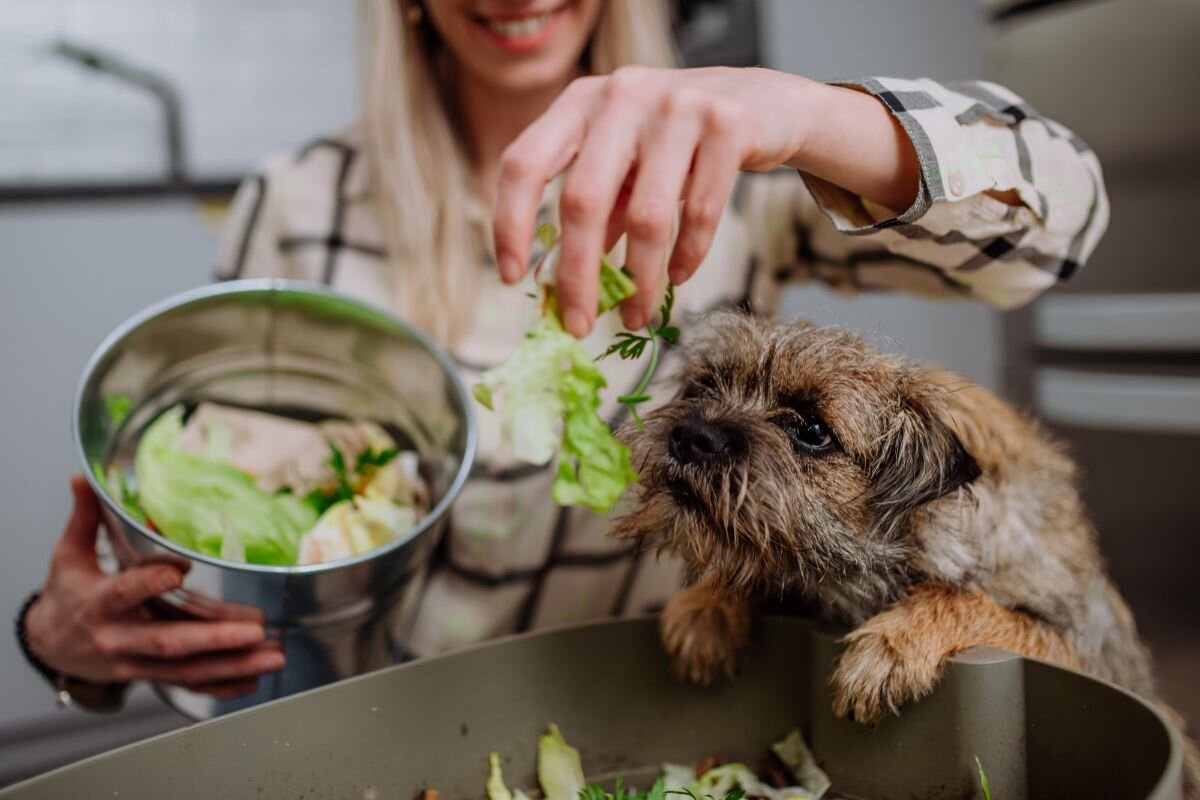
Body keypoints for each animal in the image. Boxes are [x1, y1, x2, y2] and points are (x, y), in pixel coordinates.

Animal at [619, 311, 1200, 796]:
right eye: (704, 386)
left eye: (811, 430)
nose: (692, 434)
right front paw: (706, 610)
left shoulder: (1077, 649)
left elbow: (970, 601)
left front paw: (891, 646)